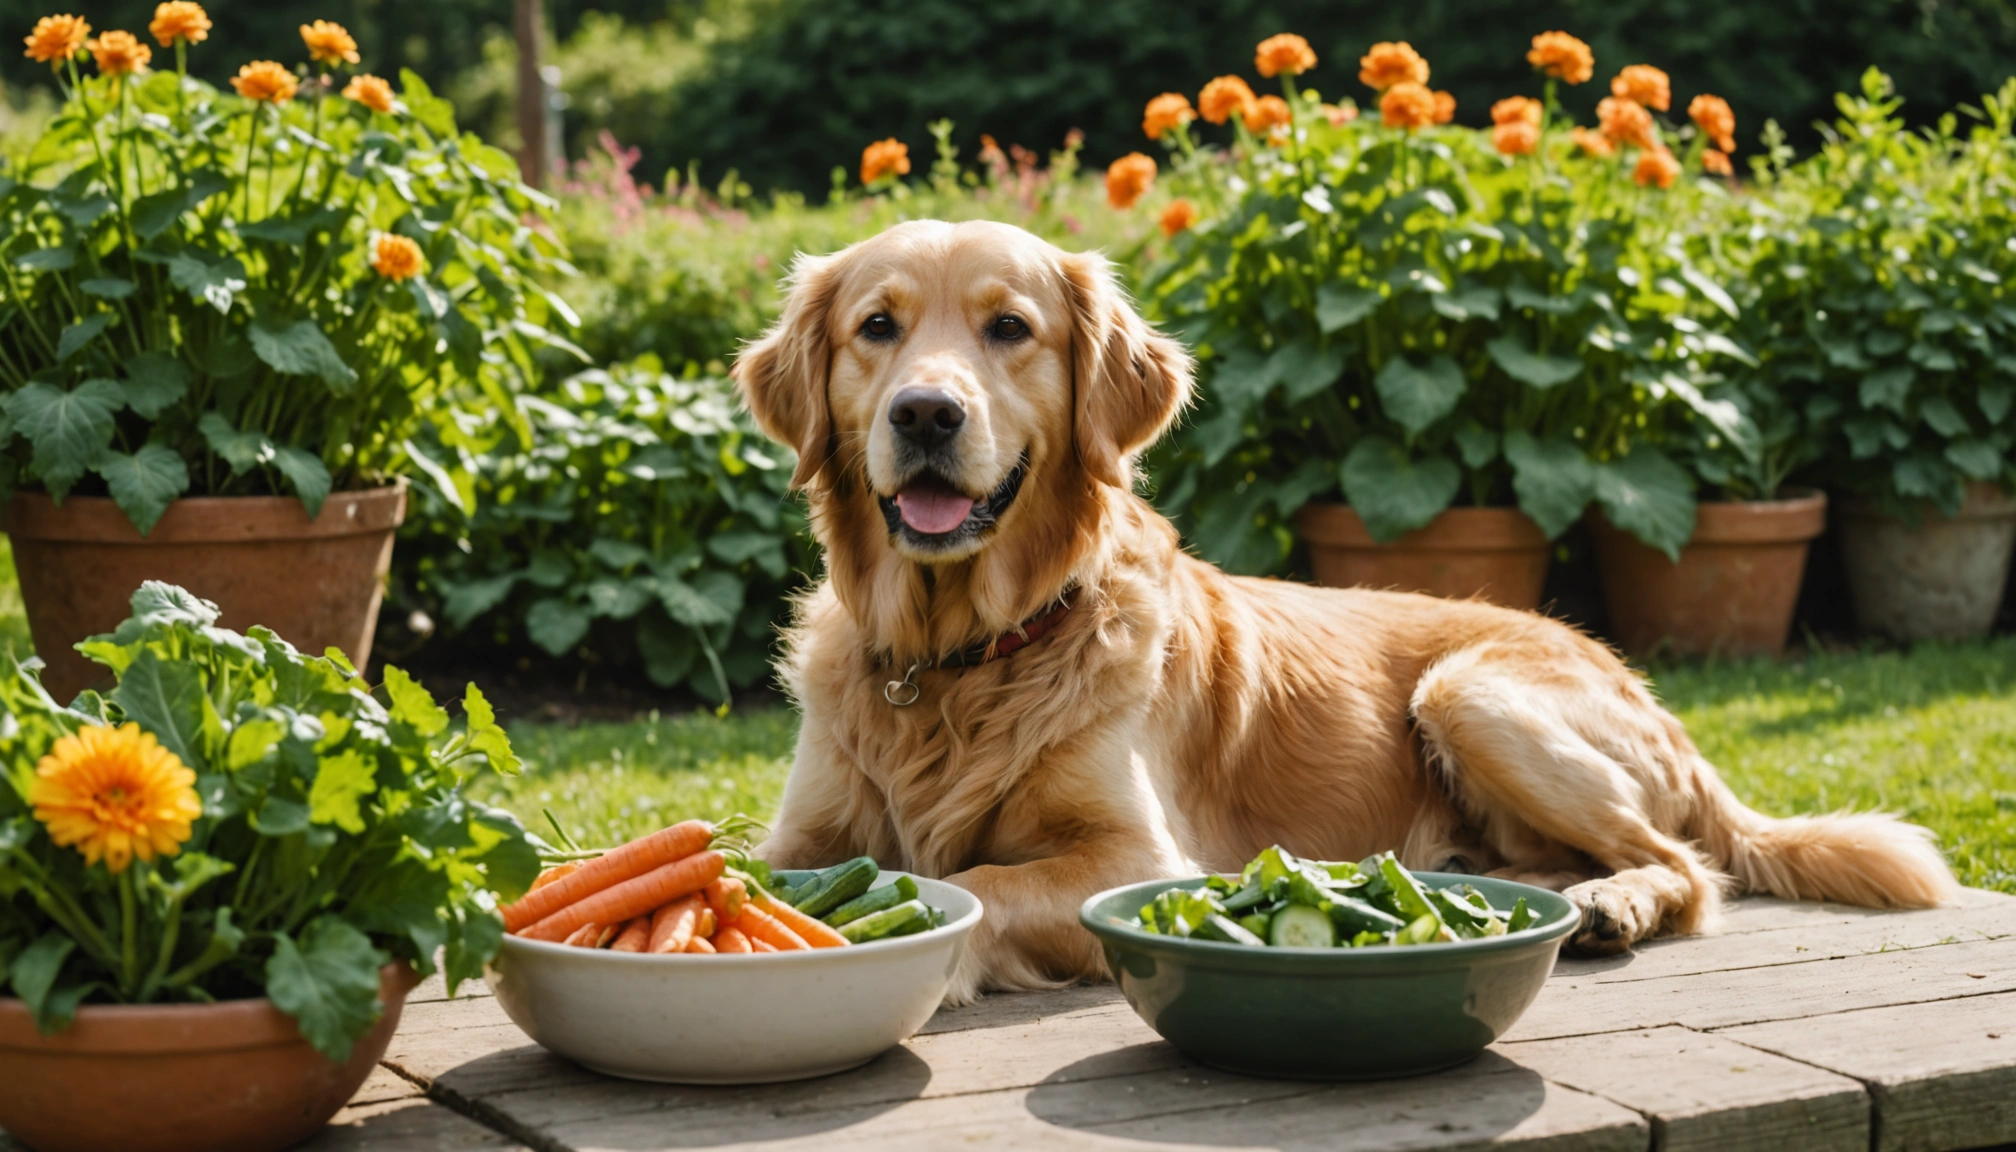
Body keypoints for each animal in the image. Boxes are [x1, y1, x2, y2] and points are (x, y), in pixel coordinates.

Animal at [733, 220, 1959, 1004]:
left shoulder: (1135, 854)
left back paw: (1611, 903)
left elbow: (974, 884)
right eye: (878, 327)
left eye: (1009, 330)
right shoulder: (803, 832)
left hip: (1471, 688)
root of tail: (1644, 689)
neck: (954, 657)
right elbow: (767, 862)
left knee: (1690, 866)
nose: (925, 415)